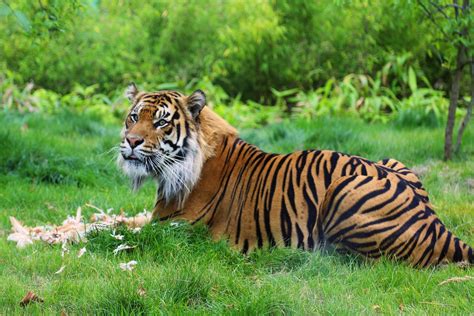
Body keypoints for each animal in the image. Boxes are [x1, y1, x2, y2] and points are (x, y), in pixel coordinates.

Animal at [118, 83, 474, 266]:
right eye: (134, 117)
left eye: (162, 122)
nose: (131, 141)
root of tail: (436, 223)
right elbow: (125, 219)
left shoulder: (173, 227)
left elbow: (119, 231)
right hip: (395, 161)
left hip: (345, 190)